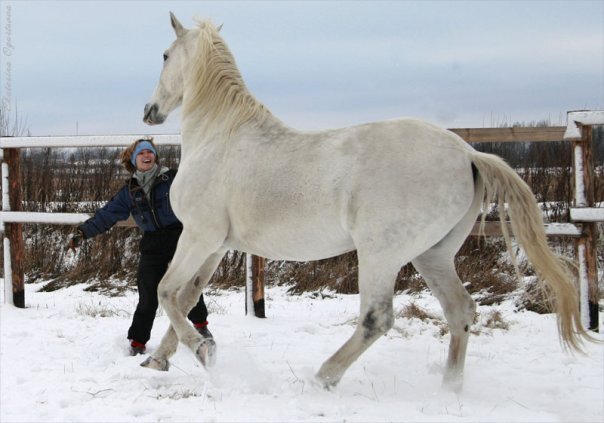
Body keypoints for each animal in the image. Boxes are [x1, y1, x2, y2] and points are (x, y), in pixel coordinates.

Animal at [139, 13, 592, 390]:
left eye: (164, 55)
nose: (149, 110)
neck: (219, 137)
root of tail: (467, 153)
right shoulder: (218, 244)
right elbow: (186, 296)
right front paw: (160, 360)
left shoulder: (199, 235)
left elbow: (166, 291)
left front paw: (202, 351)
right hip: (432, 255)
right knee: (460, 310)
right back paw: (450, 387)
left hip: (380, 253)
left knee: (377, 318)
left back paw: (323, 377)